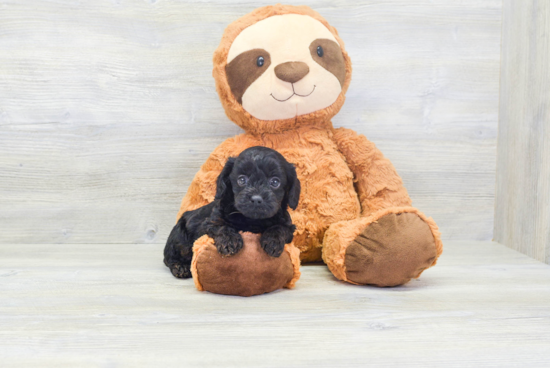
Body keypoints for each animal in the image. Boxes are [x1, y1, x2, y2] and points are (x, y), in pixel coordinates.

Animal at [164, 147, 302, 278]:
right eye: (241, 180)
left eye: (275, 182)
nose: (256, 199)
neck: (252, 220)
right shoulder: (212, 220)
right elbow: (222, 226)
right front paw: (229, 241)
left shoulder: (288, 226)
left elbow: (280, 228)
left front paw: (273, 242)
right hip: (179, 238)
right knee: (170, 257)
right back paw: (180, 267)